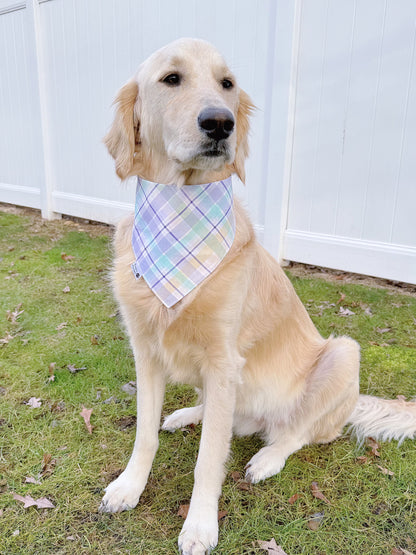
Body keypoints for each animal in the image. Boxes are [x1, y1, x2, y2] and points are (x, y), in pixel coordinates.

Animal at [100, 37, 416, 552]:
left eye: (227, 84)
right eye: (171, 79)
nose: (220, 122)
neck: (179, 212)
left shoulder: (223, 358)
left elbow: (209, 459)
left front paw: (200, 525)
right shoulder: (146, 350)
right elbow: (145, 434)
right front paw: (129, 486)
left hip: (343, 354)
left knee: (295, 433)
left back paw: (267, 459)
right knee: (225, 416)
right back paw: (187, 413)